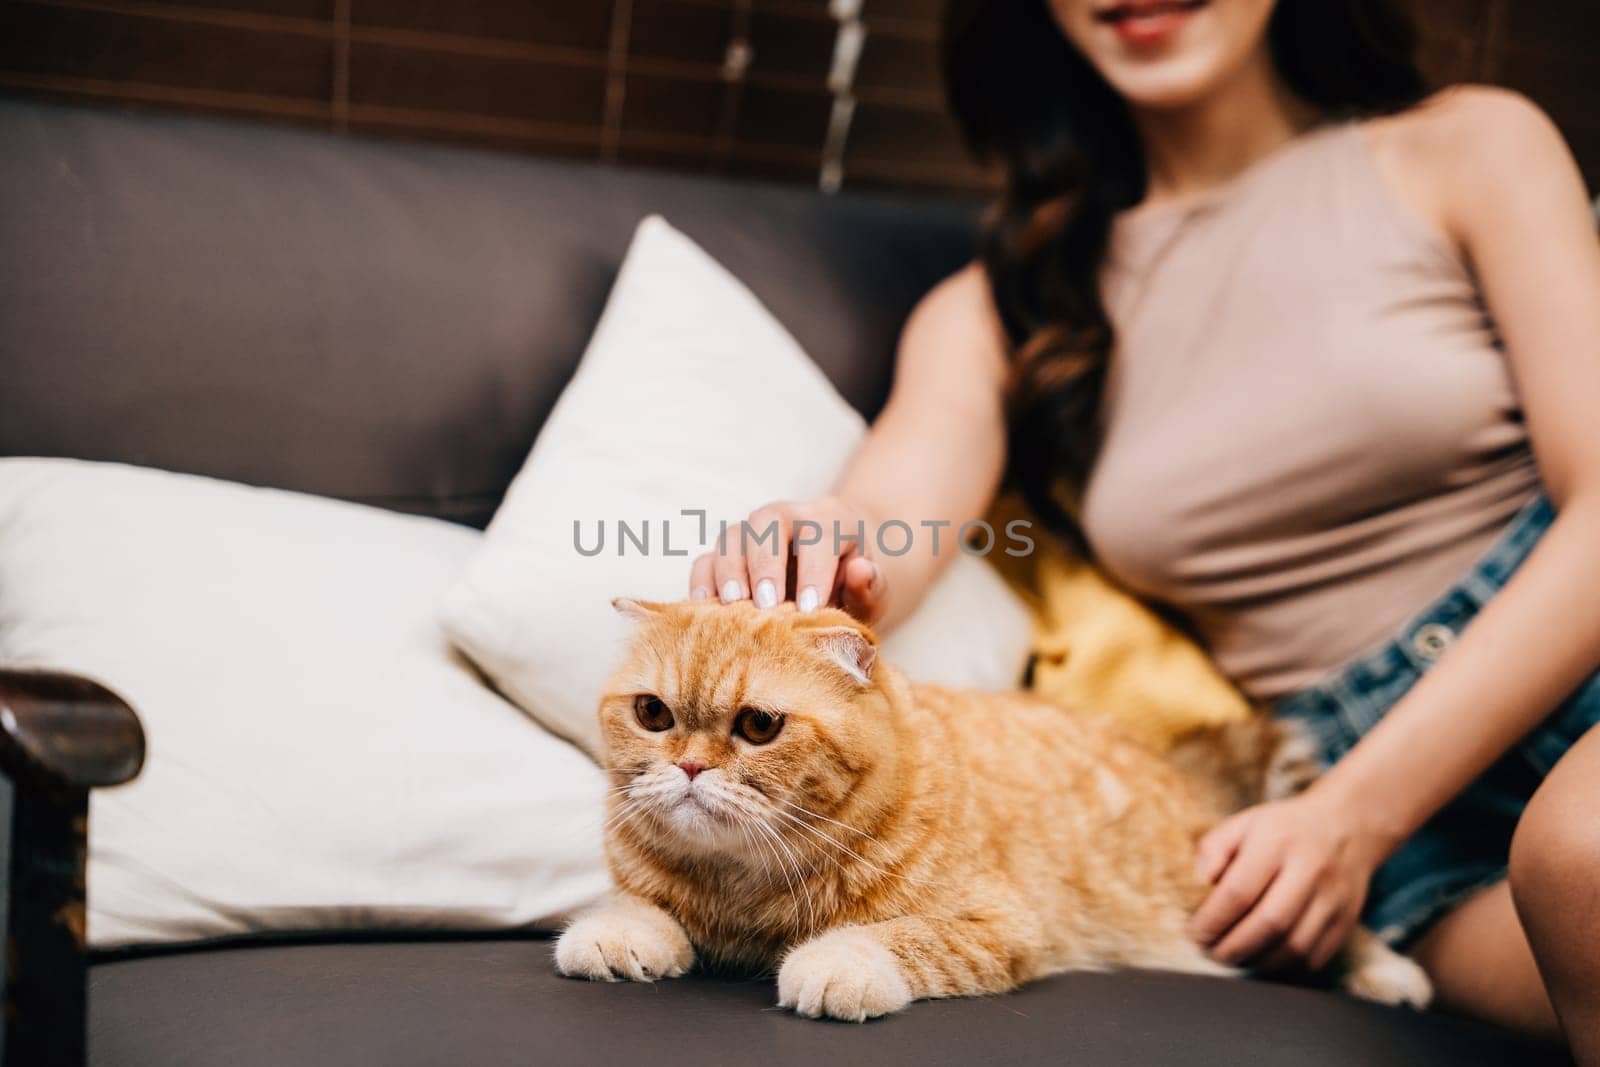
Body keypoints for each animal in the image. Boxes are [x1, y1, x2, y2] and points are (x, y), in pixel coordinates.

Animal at [556, 598, 1433, 1023]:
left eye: (758, 726)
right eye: (654, 713)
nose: (690, 766)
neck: (742, 890)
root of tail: (1171, 759)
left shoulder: (996, 925)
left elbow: (891, 938)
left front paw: (836, 963)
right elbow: (631, 906)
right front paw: (618, 932)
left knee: (1344, 921)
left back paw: (1390, 972)